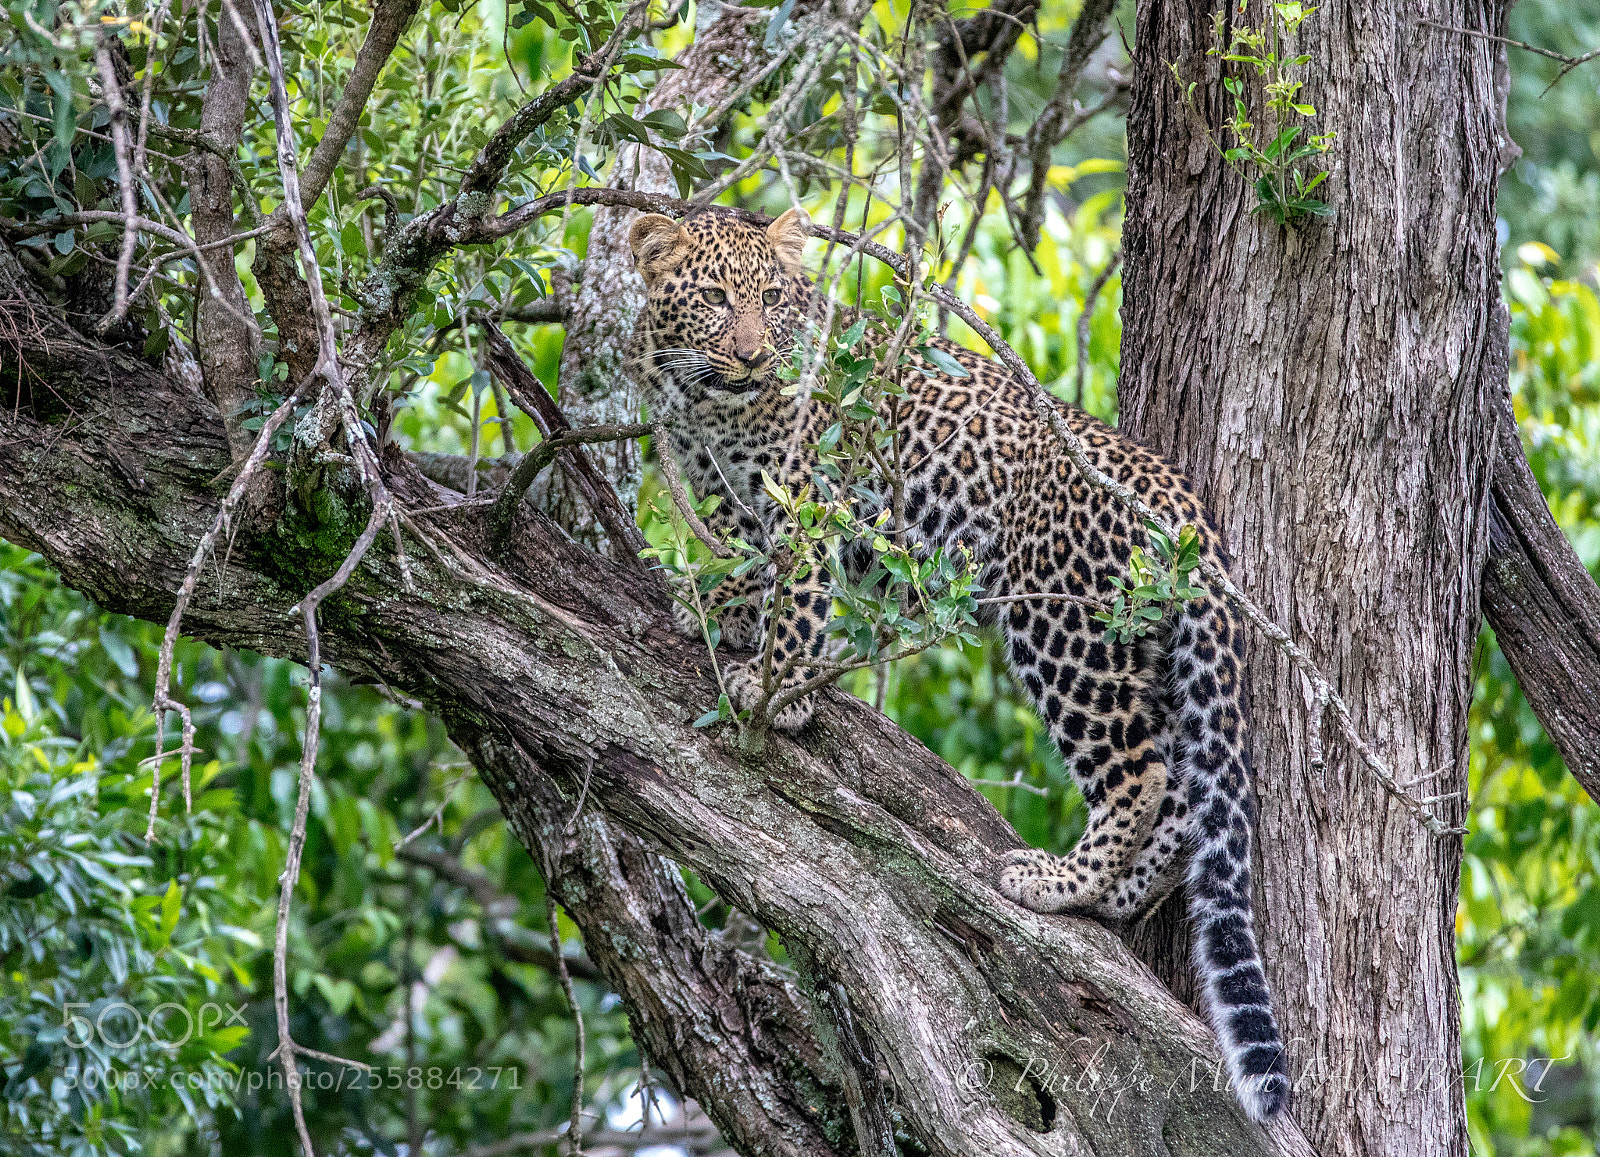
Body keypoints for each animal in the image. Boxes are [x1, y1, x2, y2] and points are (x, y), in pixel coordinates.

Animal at [626, 204, 1291, 1122]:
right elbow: (743, 562)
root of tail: (1177, 493)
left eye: (772, 298)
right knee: (1189, 790)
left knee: (1141, 771)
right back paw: (1117, 895)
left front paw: (778, 688)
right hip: (1142, 650)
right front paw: (718, 616)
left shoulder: (810, 492)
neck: (708, 406)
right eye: (717, 300)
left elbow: (795, 589)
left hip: (1061, 624)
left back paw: (1061, 881)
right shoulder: (726, 494)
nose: (757, 356)